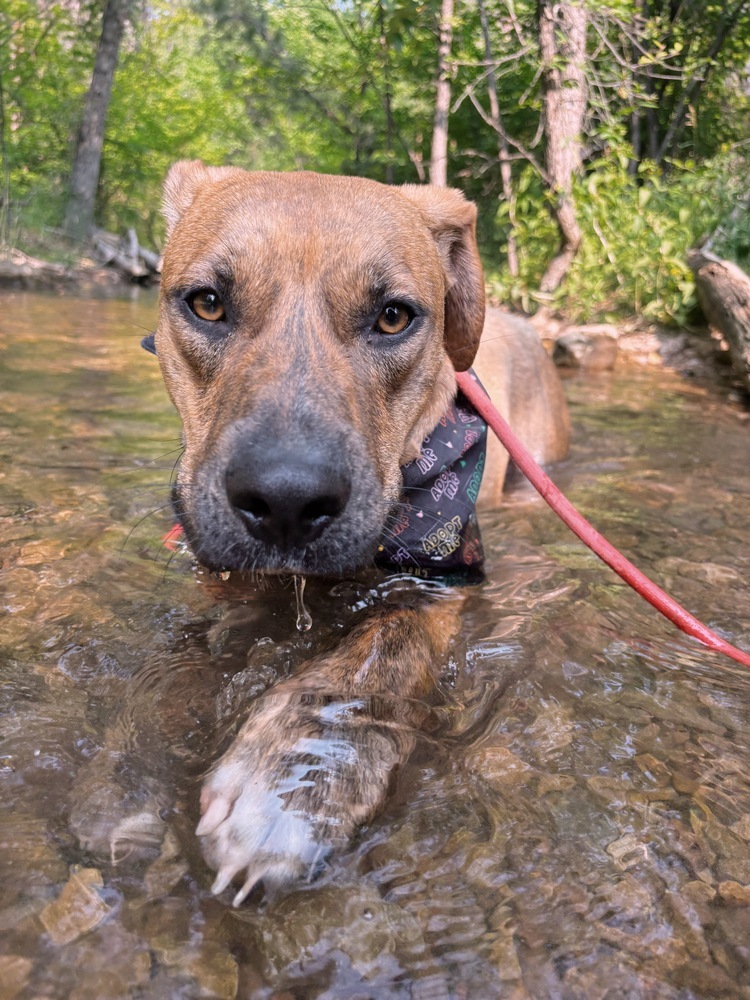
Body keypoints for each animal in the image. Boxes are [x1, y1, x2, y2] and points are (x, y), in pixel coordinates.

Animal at [157, 160, 568, 904]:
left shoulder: (439, 576)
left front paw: (298, 780)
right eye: (206, 303)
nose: (285, 498)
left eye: (394, 316)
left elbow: (378, 656)